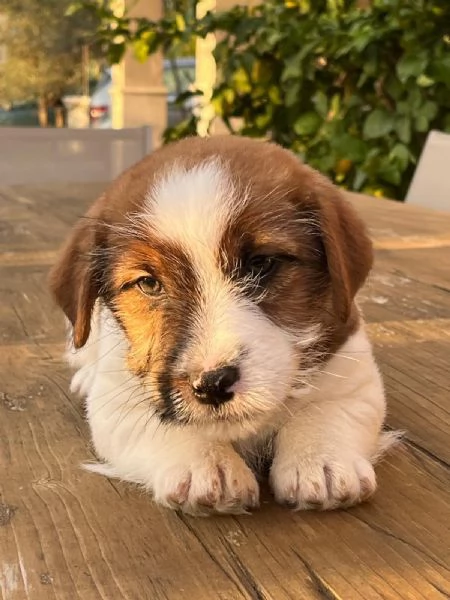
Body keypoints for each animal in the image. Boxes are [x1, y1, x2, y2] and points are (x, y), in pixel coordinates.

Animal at [48, 136, 394, 516]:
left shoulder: (355, 378)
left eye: (261, 264)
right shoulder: (116, 406)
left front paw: (319, 459)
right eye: (148, 283)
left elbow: (324, 411)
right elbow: (161, 425)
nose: (211, 385)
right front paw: (207, 463)